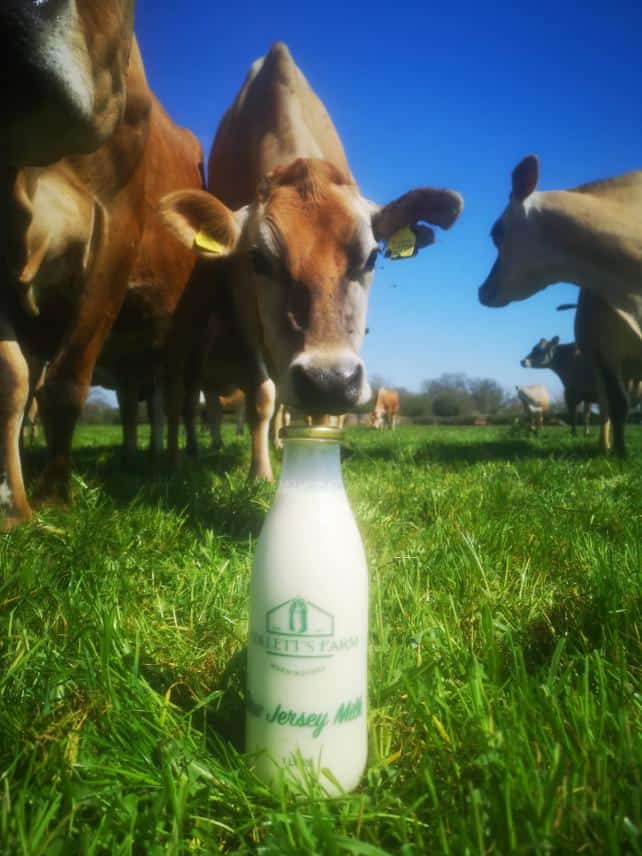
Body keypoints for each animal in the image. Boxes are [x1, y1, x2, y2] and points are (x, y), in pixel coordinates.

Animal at [158, 43, 462, 482]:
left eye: (372, 256)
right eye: (257, 259)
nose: (329, 381)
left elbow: (317, 413)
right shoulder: (244, 309)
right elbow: (262, 396)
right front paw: (261, 474)